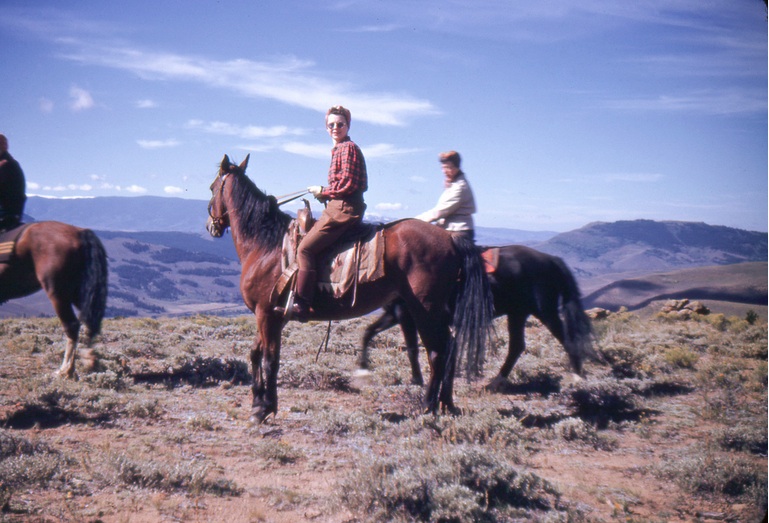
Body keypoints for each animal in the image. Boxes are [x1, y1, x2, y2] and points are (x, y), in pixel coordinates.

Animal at [0, 221, 109, 376]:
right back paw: (89, 359)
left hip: (58, 294)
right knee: (90, 318)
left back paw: (65, 371)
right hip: (77, 292)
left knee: (72, 325)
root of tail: (80, 232)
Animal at [204, 156, 492, 426]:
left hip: (426, 309)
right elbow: (256, 354)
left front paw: (265, 408)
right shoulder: (272, 316)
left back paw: (429, 407)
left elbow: (270, 359)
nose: (210, 226)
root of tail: (451, 238)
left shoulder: (267, 314)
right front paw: (257, 404)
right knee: (450, 348)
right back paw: (447, 404)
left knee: (437, 352)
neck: (266, 245)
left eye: (212, 187)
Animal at [356, 244, 596, 390]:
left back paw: (577, 377)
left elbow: (412, 348)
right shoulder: (393, 314)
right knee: (517, 346)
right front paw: (362, 368)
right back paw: (495, 383)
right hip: (518, 313)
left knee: (566, 340)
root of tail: (552, 259)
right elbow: (368, 333)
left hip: (544, 311)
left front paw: (416, 380)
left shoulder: (406, 314)